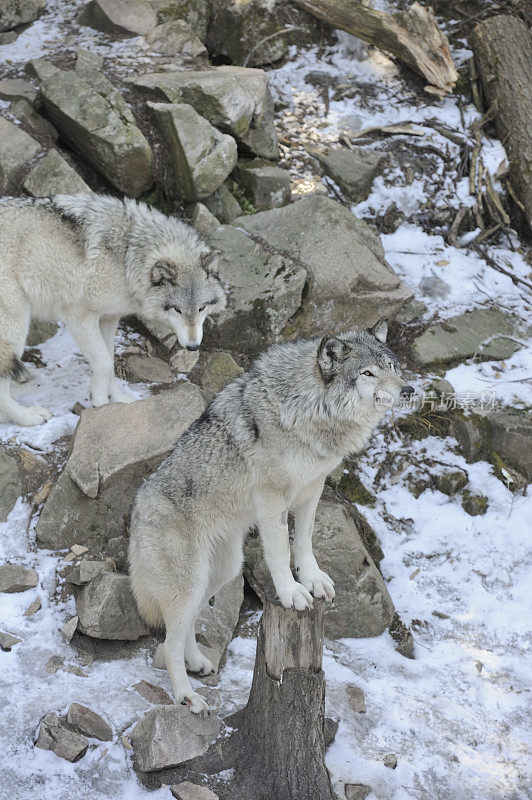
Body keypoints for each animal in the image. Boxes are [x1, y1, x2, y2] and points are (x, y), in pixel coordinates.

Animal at [0, 194, 225, 424]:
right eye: (177, 310)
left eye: (202, 308)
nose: (193, 347)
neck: (126, 258)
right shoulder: (79, 317)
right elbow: (104, 363)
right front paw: (99, 401)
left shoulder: (108, 319)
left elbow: (110, 361)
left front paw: (117, 400)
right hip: (15, 326)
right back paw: (28, 417)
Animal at [130, 318, 416, 712]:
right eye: (368, 373)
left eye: (392, 367)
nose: (409, 390)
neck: (311, 409)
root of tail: (136, 513)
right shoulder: (272, 498)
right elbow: (280, 552)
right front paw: (292, 592)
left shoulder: (312, 488)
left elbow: (305, 541)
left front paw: (312, 580)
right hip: (190, 584)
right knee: (168, 644)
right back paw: (187, 696)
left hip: (221, 574)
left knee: (182, 629)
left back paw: (198, 663)